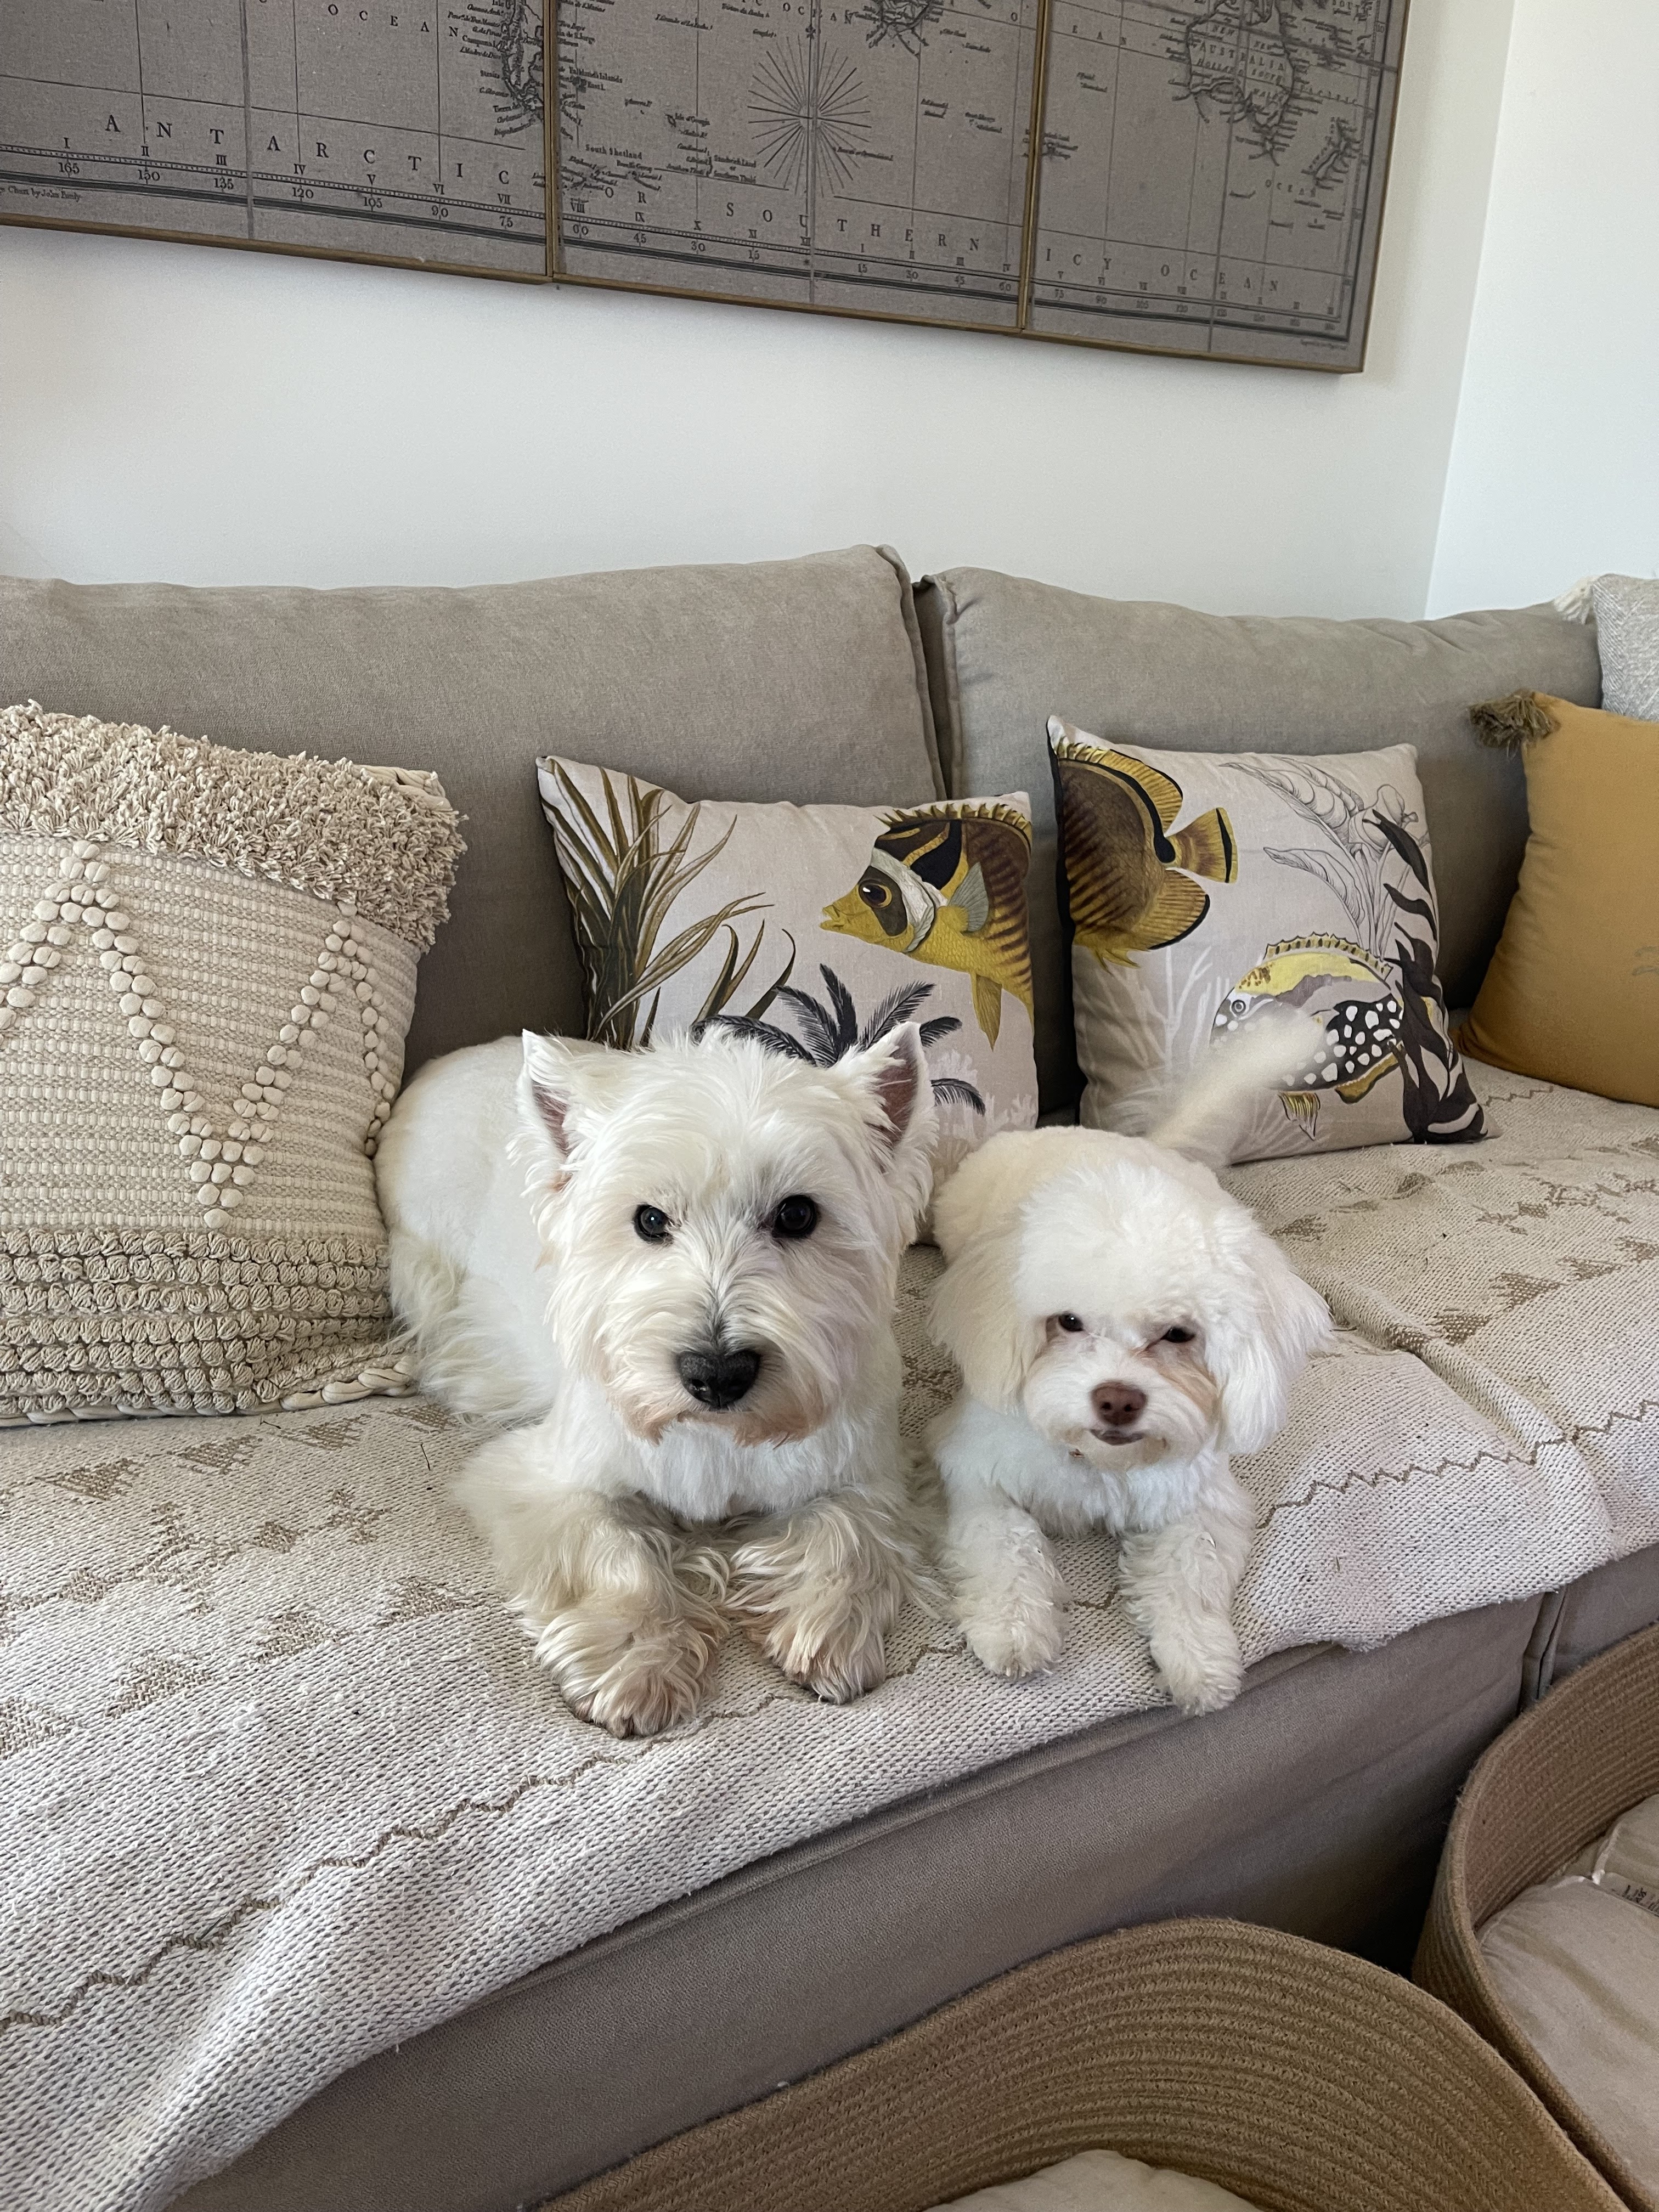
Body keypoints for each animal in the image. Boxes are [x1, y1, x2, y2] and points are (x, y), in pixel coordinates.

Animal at [374, 1023, 936, 1736]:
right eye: (648, 1220)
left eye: (797, 1215)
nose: (716, 1374)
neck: (719, 1432)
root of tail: (443, 1063)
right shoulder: (551, 1477)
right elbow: (613, 1552)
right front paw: (637, 1659)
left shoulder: (865, 1468)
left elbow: (849, 1534)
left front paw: (826, 1627)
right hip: (427, 1267)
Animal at [928, 1037, 1330, 1715]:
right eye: (1067, 1321)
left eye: (1178, 1335)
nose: (1117, 1401)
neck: (1102, 1466)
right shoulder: (977, 1473)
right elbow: (1005, 1543)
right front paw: (1015, 1629)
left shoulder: (1200, 1500)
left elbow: (1190, 1574)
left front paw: (1199, 1661)